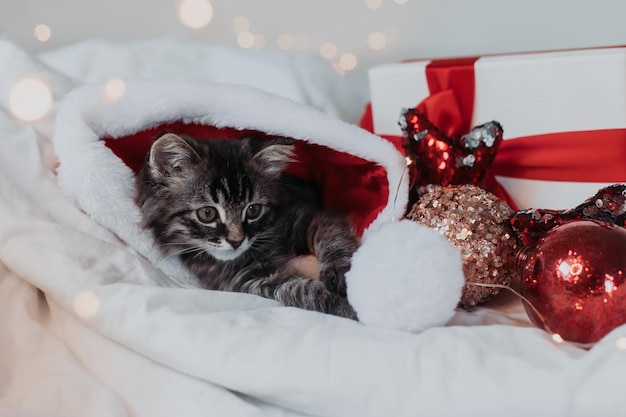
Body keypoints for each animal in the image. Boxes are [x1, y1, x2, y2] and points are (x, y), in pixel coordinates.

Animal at [136, 133, 360, 318]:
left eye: (253, 210)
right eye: (207, 213)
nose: (236, 241)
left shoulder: (310, 216)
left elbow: (333, 240)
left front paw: (342, 275)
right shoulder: (249, 281)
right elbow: (302, 291)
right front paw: (345, 307)